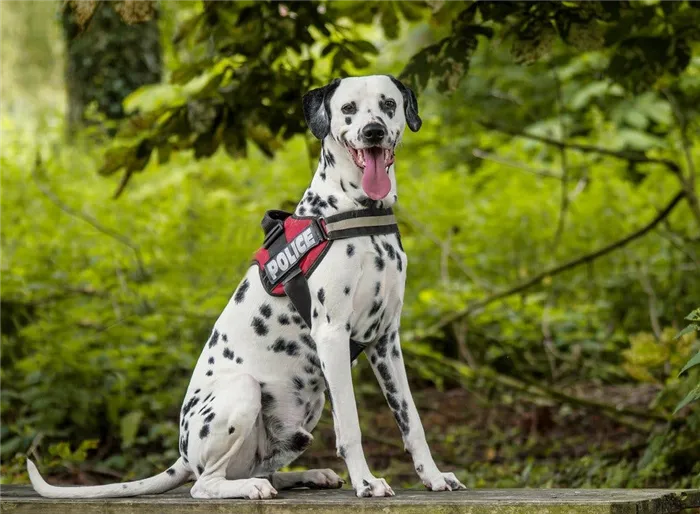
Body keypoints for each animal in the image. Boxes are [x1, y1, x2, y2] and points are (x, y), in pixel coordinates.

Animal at [27, 74, 468, 498]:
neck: (357, 213)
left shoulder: (386, 341)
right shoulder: (332, 335)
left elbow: (411, 421)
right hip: (243, 391)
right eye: (348, 109)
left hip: (302, 415)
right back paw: (250, 488)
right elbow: (351, 427)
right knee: (205, 485)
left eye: (388, 104)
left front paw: (433, 477)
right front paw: (366, 482)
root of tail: (183, 456)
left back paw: (308, 475)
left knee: (262, 470)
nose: (373, 131)